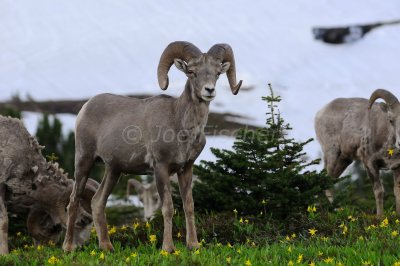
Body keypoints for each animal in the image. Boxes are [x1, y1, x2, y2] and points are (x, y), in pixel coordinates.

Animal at [64, 40, 242, 251]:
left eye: (217, 73)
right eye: (191, 71)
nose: (209, 91)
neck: (180, 127)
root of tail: (85, 107)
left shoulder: (186, 169)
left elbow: (189, 206)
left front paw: (194, 245)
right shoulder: (161, 168)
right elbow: (168, 208)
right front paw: (168, 248)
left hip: (114, 170)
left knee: (98, 202)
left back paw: (107, 247)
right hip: (84, 161)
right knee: (74, 200)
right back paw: (68, 247)